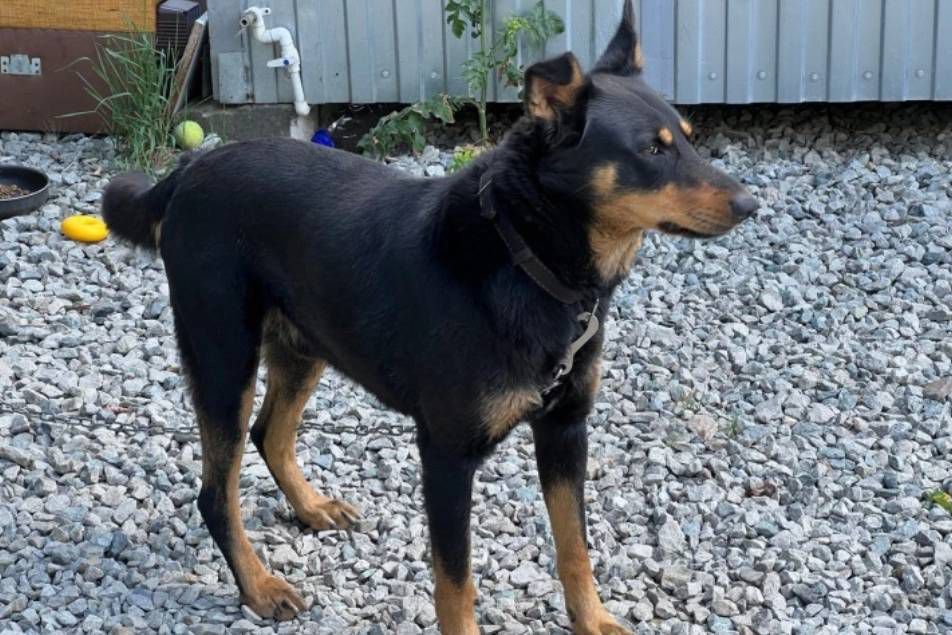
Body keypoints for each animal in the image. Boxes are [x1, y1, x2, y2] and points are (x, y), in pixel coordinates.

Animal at [103, 2, 757, 632]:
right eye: (651, 150)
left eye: (690, 139)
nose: (751, 204)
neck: (526, 256)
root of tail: (184, 175)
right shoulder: (446, 452)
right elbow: (456, 581)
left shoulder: (566, 429)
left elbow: (575, 548)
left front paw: (593, 622)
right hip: (223, 358)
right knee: (217, 492)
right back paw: (261, 586)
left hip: (304, 342)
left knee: (271, 433)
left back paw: (311, 508)